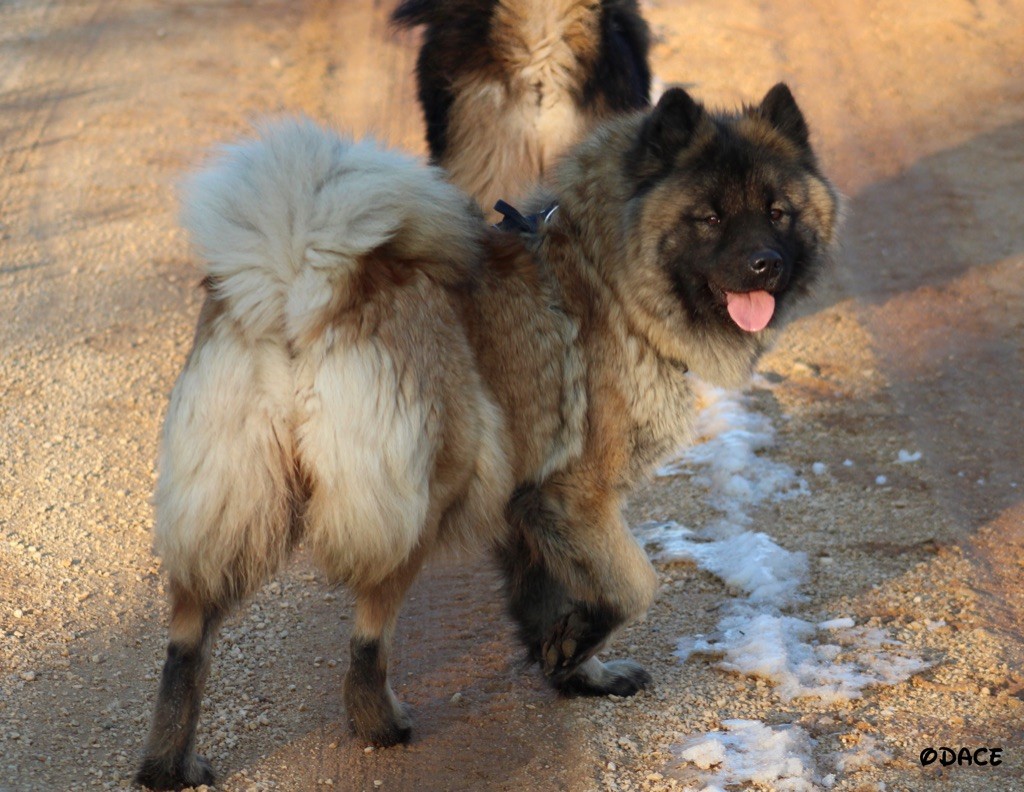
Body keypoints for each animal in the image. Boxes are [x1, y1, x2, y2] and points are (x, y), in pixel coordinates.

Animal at [138, 83, 839, 786]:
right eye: (709, 218)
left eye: (778, 212)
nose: (765, 265)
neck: (604, 272)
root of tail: (299, 283)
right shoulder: (577, 496)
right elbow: (631, 587)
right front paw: (574, 651)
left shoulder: (526, 502)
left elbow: (545, 595)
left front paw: (574, 671)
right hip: (416, 495)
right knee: (369, 632)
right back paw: (380, 723)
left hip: (235, 504)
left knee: (188, 639)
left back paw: (168, 763)